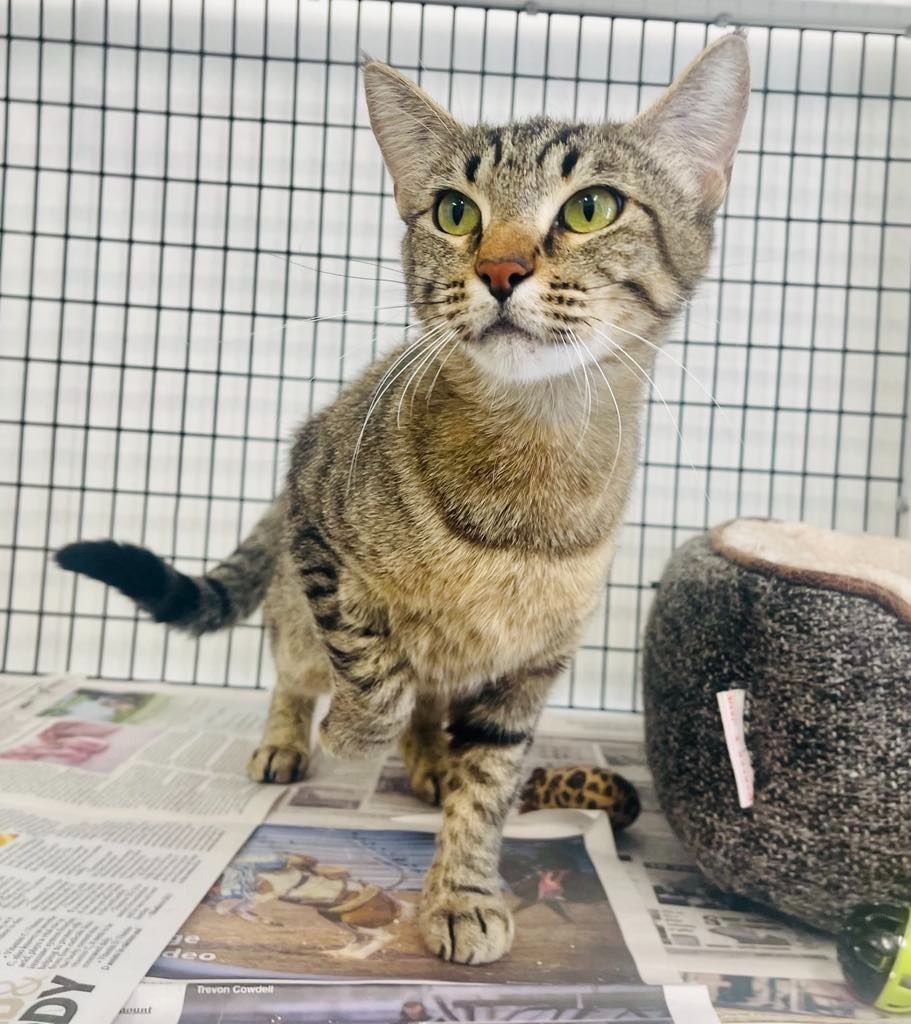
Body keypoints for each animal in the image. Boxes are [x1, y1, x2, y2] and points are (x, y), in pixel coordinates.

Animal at [58, 29, 753, 958]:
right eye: (455, 212)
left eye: (591, 208)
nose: (500, 268)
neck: (526, 470)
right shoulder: (317, 527)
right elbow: (371, 669)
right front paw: (353, 731)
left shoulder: (533, 664)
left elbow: (487, 785)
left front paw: (461, 888)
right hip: (294, 574)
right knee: (297, 663)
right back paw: (291, 738)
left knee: (427, 702)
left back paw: (429, 760)